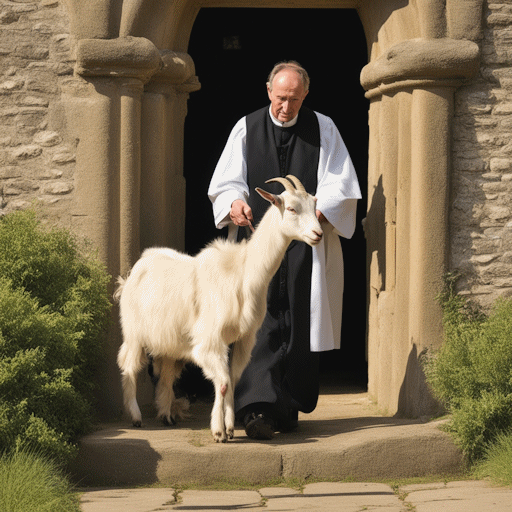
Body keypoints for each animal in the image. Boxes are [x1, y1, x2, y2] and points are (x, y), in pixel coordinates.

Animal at [116, 174, 324, 442]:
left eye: (314, 204)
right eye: (290, 208)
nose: (318, 234)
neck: (243, 272)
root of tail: (137, 268)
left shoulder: (243, 338)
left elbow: (232, 381)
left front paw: (230, 427)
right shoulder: (209, 340)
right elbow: (223, 382)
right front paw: (218, 431)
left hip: (170, 339)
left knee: (167, 373)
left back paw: (166, 415)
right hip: (133, 331)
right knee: (129, 365)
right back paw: (136, 416)